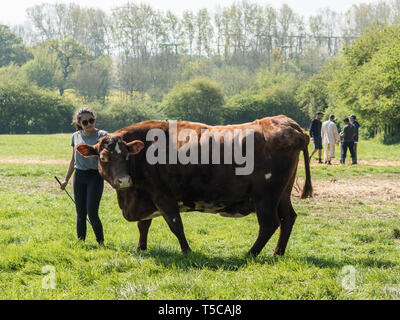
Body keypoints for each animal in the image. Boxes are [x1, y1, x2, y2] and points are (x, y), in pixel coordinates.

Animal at [76, 115, 310, 258]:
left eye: (125, 155)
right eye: (104, 158)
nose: (124, 180)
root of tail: (286, 123)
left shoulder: (163, 196)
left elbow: (175, 225)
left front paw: (186, 250)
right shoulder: (144, 196)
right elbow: (144, 225)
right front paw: (141, 248)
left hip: (266, 196)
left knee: (269, 224)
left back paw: (250, 254)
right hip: (282, 194)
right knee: (288, 218)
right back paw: (277, 253)